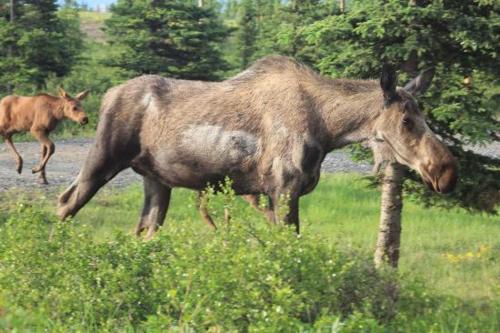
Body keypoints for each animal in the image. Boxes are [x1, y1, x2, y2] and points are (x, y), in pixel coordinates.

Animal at [57, 55, 458, 236]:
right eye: (406, 121)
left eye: (423, 115)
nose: (447, 171)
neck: (329, 130)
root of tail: (107, 95)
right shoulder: (284, 187)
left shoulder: (271, 194)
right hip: (103, 158)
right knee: (64, 203)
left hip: (156, 179)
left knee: (144, 231)